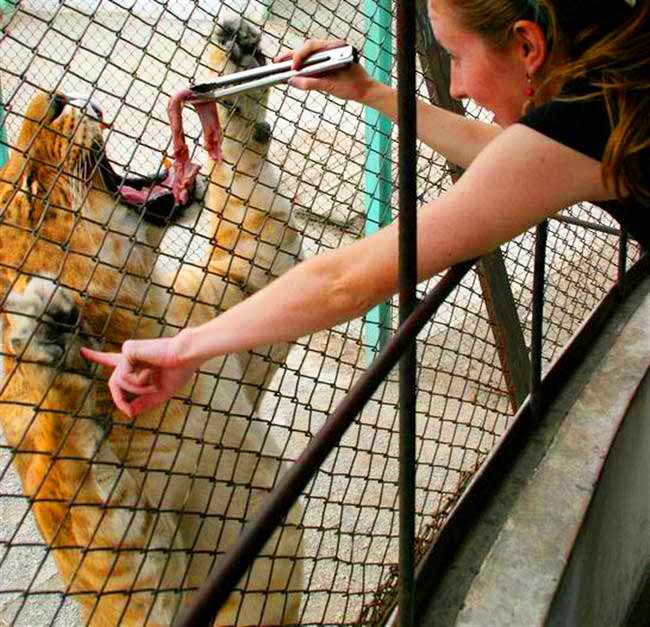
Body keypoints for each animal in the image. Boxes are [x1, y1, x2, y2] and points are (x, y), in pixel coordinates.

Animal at [0, 17, 304, 624]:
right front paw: (38, 334)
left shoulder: (252, 284)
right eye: (30, 190)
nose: (56, 98)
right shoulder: (133, 591)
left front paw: (234, 67)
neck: (141, 308)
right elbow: (77, 487)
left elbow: (253, 208)